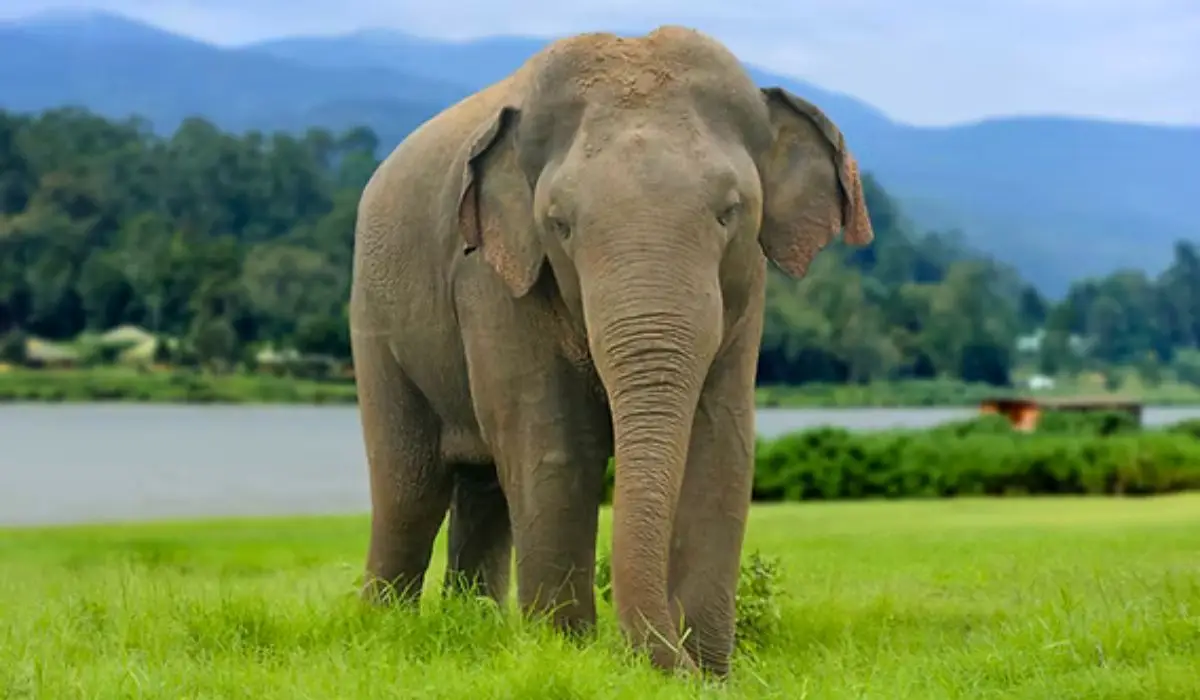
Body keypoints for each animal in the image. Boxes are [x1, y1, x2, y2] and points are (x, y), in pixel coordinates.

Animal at [348, 25, 874, 676]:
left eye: (730, 212)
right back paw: (384, 628)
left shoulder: (747, 289)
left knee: (482, 490)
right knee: (409, 488)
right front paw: (567, 654)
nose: (670, 658)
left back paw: (473, 627)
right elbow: (556, 447)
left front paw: (709, 675)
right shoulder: (494, 279)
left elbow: (721, 445)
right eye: (560, 224)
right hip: (373, 318)